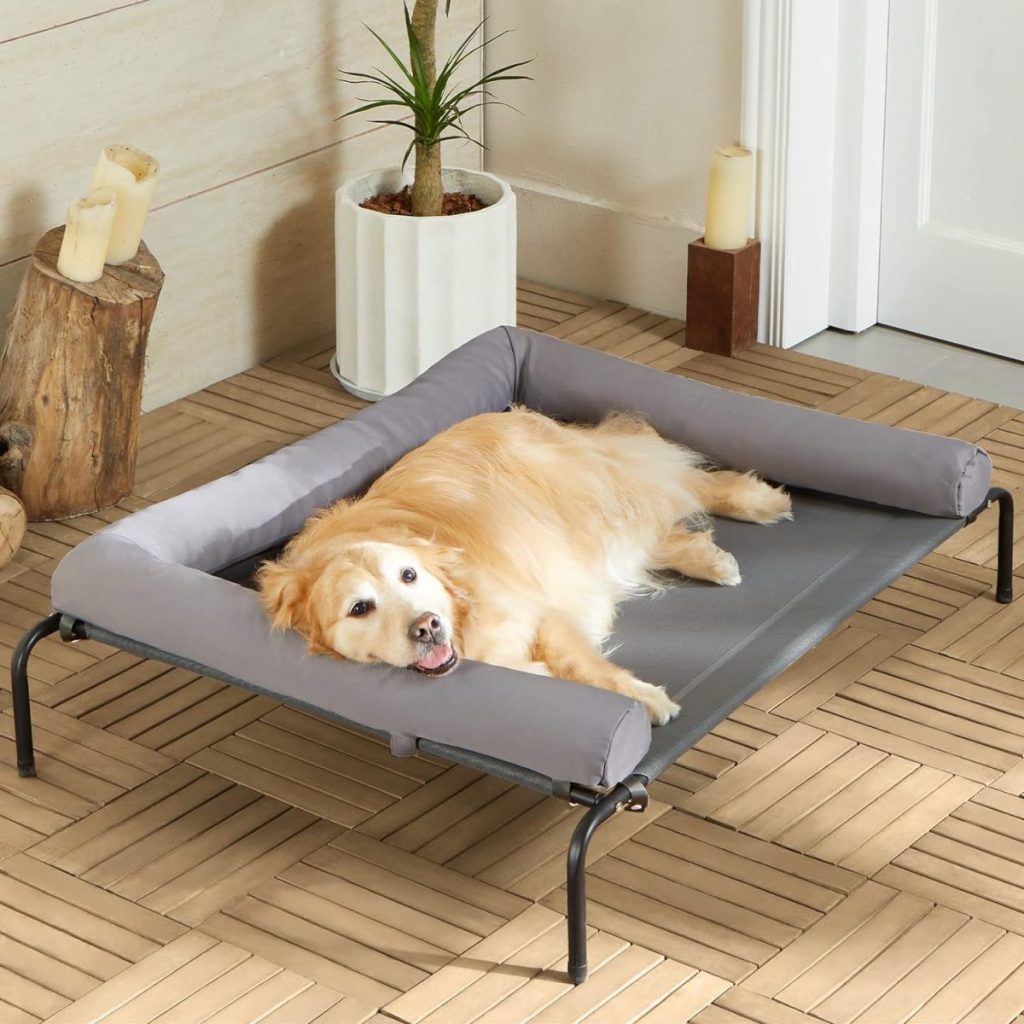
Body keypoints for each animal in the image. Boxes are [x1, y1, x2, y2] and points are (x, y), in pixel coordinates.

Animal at [258, 403, 790, 724]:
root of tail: (504, 414)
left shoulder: (540, 613)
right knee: (652, 536)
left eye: (409, 575)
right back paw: (710, 557)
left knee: (678, 484)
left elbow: (585, 667)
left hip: (591, 496)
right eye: (359, 608)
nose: (428, 626)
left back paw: (760, 501)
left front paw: (646, 700)